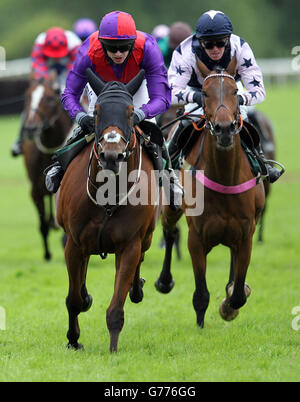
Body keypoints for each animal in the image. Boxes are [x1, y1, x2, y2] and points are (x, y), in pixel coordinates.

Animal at [21, 74, 72, 260]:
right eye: (27, 97)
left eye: (49, 99)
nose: (30, 128)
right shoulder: (35, 189)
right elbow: (42, 224)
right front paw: (47, 254)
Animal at [56, 70, 159, 354]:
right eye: (97, 111)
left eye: (130, 112)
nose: (111, 154)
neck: (108, 198)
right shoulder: (74, 243)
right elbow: (73, 298)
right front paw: (73, 339)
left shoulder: (130, 245)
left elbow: (116, 306)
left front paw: (113, 350)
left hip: (146, 237)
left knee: (139, 261)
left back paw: (137, 288)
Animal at [157, 56, 264, 326]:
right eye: (204, 93)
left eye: (235, 91)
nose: (224, 128)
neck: (224, 177)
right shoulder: (196, 239)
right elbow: (201, 294)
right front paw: (200, 326)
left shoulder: (246, 235)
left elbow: (238, 294)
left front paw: (229, 306)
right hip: (171, 206)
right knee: (170, 231)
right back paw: (164, 281)